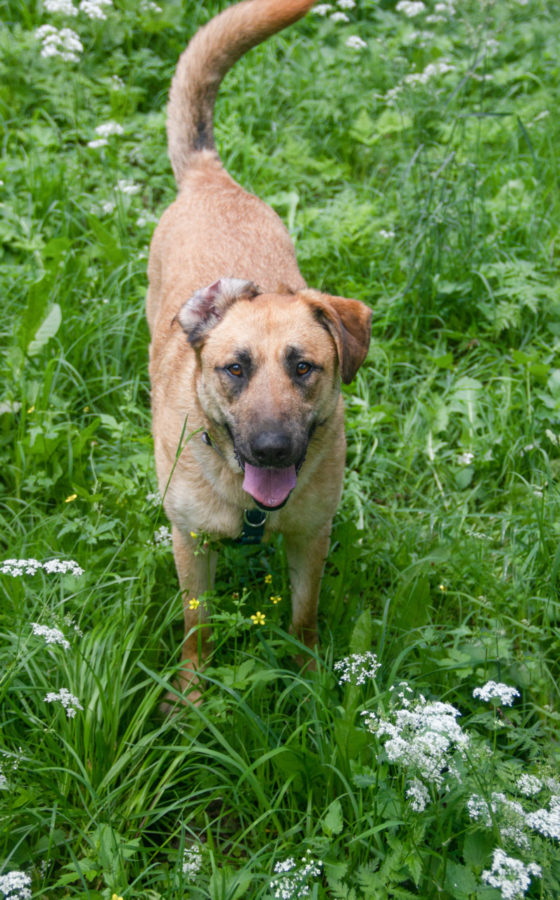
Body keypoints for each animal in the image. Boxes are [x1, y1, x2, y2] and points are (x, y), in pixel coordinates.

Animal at [146, 0, 372, 703]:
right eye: (235, 369)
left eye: (304, 367)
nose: (272, 449)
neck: (250, 509)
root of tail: (211, 177)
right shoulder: (191, 543)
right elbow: (197, 630)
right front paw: (192, 700)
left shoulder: (309, 537)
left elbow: (304, 617)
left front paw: (309, 685)